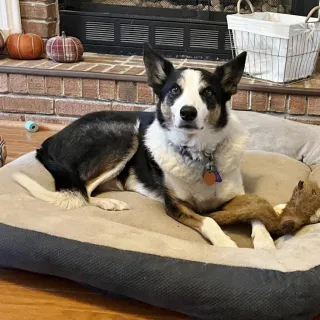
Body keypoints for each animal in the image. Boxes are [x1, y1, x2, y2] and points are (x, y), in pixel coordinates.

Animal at [15, 44, 254, 248]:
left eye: (208, 92)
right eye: (174, 90)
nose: (187, 112)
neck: (198, 154)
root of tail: (48, 142)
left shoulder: (239, 196)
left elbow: (256, 216)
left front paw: (261, 244)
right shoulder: (176, 205)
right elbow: (208, 221)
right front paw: (226, 243)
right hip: (125, 135)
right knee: (82, 190)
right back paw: (109, 203)